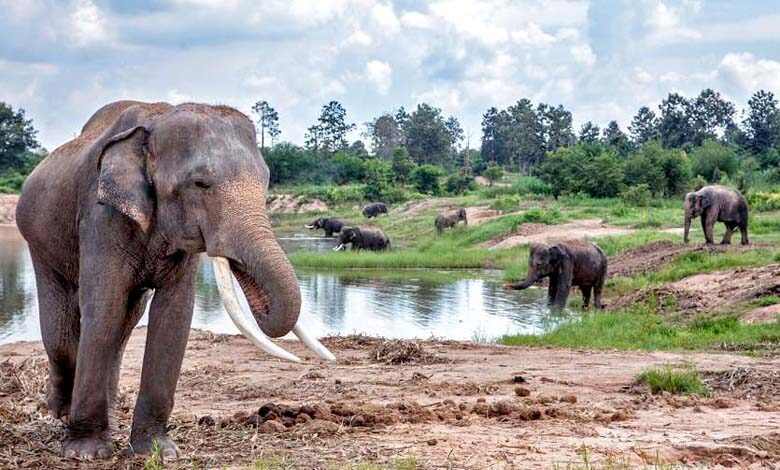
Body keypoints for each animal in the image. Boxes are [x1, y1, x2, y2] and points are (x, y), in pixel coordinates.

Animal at [15, 101, 332, 461]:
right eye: (200, 183)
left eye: (266, 183)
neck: (157, 119)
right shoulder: (100, 217)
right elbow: (105, 306)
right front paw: (86, 453)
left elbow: (174, 315)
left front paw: (158, 451)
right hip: (38, 239)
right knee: (62, 330)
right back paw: (57, 414)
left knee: (122, 326)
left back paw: (110, 415)